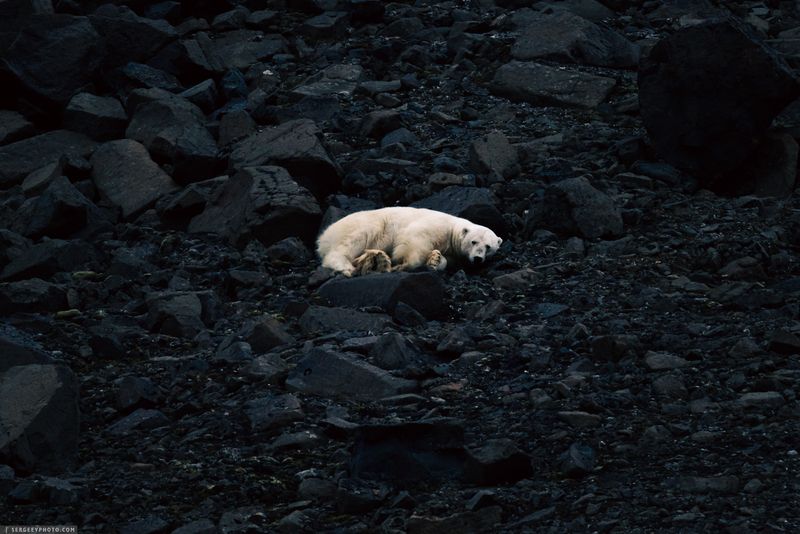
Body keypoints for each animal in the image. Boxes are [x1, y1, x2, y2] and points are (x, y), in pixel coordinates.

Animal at [317, 206, 503, 277]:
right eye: (474, 242)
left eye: (488, 247)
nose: (477, 259)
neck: (452, 229)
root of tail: (324, 236)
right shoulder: (435, 227)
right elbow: (413, 240)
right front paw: (402, 265)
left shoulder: (453, 252)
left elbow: (446, 260)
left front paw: (435, 260)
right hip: (364, 224)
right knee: (355, 239)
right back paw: (347, 267)